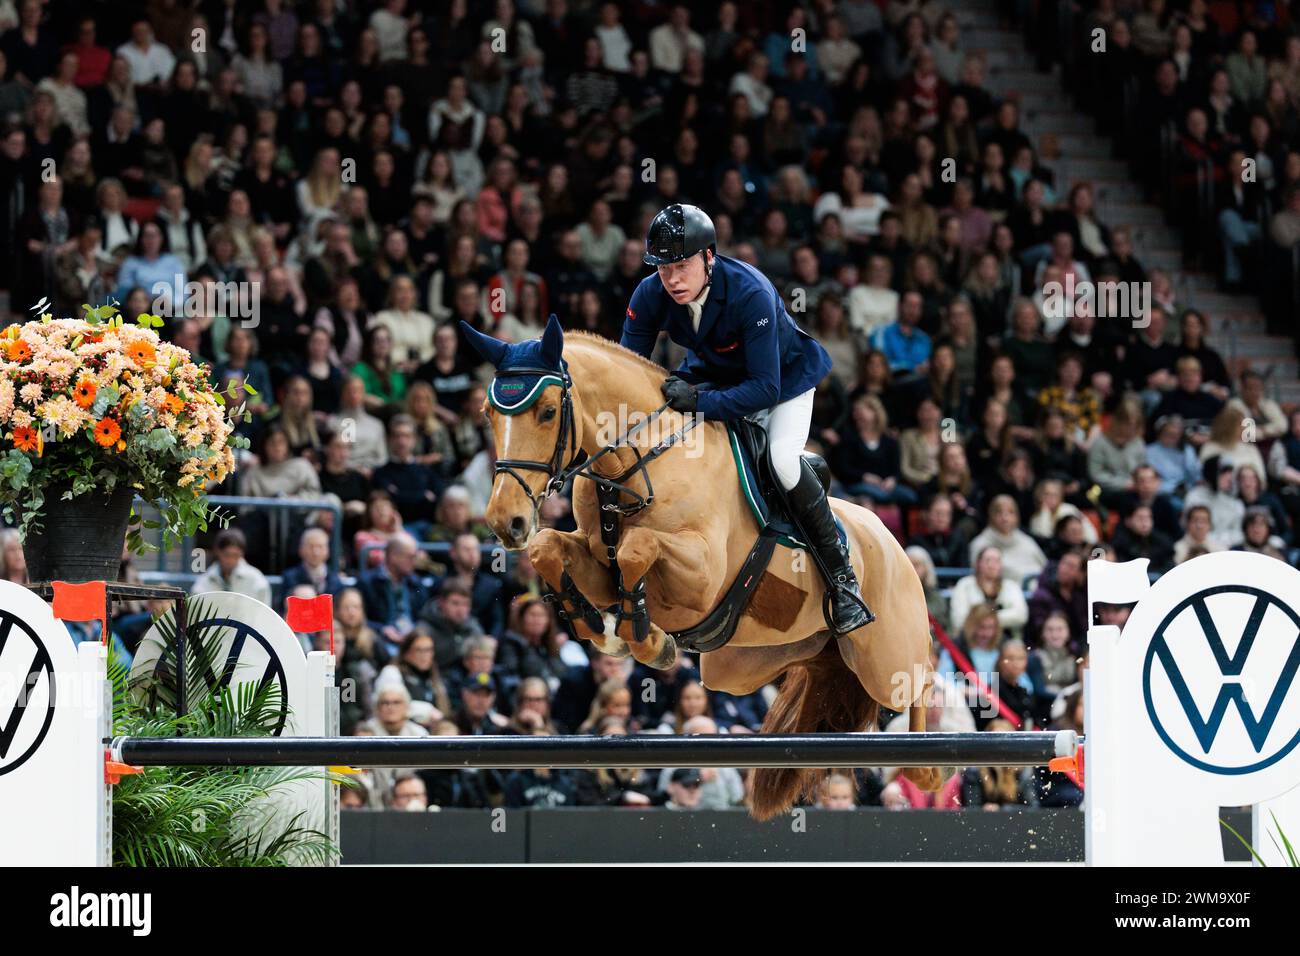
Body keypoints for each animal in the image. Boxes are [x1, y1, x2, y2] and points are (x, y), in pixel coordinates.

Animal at [473, 319, 941, 816]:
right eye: (487, 413)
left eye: (546, 412)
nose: (506, 521)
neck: (635, 464)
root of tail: (895, 545)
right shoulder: (599, 565)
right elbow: (550, 547)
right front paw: (599, 627)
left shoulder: (701, 576)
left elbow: (638, 547)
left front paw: (645, 637)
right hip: (744, 666)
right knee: (820, 669)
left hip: (888, 658)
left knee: (919, 680)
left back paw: (924, 767)